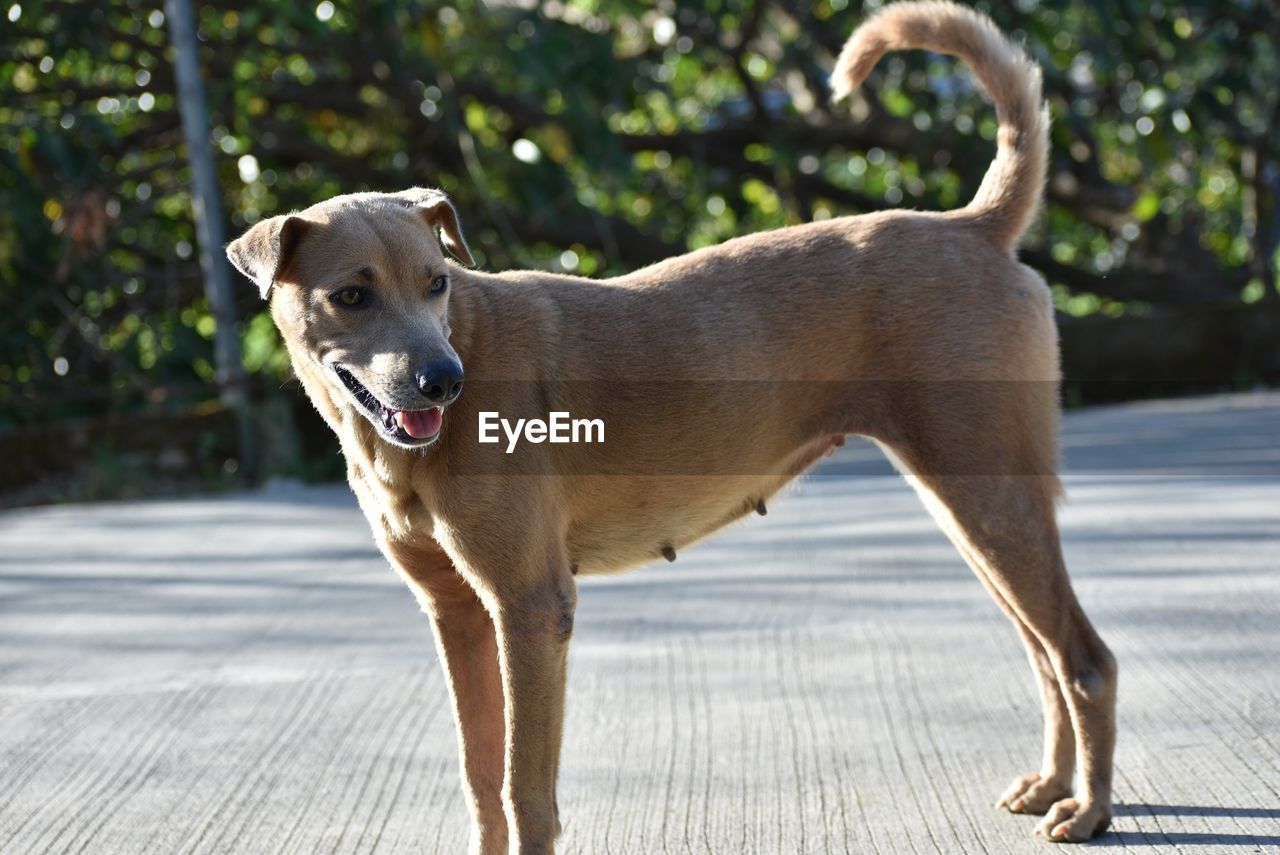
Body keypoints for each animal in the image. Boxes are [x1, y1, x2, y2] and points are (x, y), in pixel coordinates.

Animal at [230, 3, 1121, 849]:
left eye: (436, 282)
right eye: (351, 295)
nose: (444, 382)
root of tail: (971, 225)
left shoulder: (530, 604)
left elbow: (525, 789)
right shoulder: (458, 614)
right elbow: (482, 779)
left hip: (988, 497)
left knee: (1085, 658)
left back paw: (1089, 809)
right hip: (975, 510)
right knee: (1045, 654)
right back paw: (1053, 783)